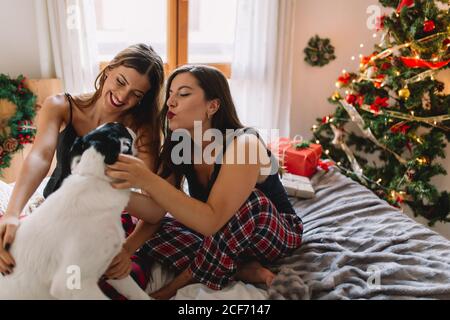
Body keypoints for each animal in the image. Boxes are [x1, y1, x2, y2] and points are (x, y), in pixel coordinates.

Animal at [0, 122, 151, 300]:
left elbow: (140, 294)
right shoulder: (72, 286)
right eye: (120, 127)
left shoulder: (110, 267)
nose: (133, 128)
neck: (93, 178)